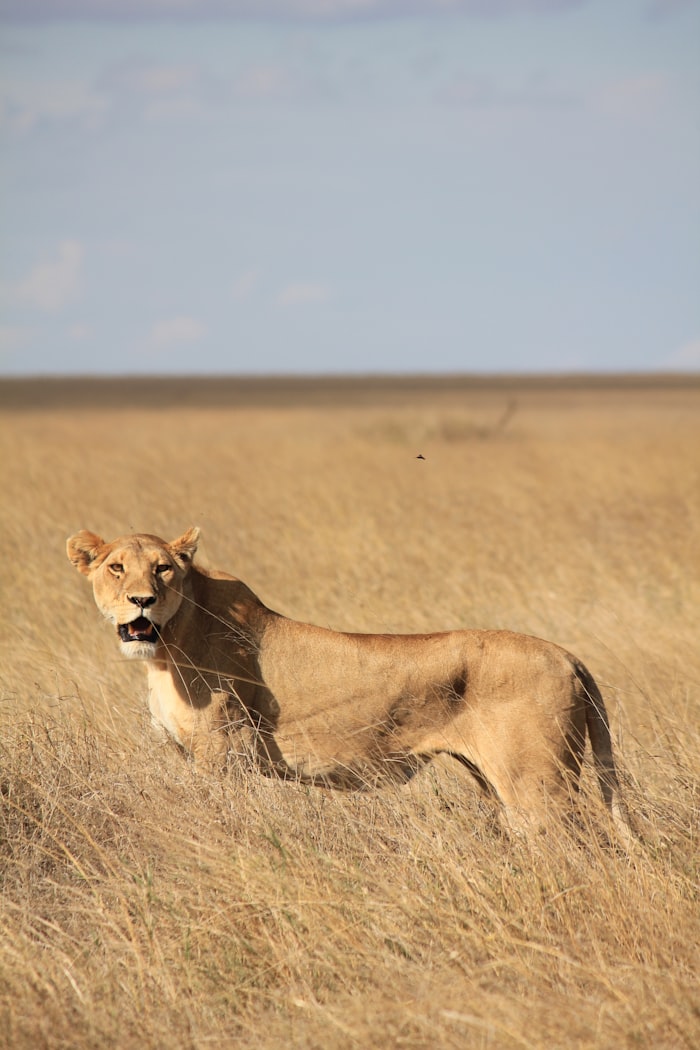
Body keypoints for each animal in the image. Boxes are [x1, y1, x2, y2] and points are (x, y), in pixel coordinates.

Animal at [67, 527, 633, 838]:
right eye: (116, 568)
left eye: (163, 569)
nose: (142, 601)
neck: (164, 652)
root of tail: (567, 655)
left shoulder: (222, 756)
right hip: (496, 781)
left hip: (539, 786)